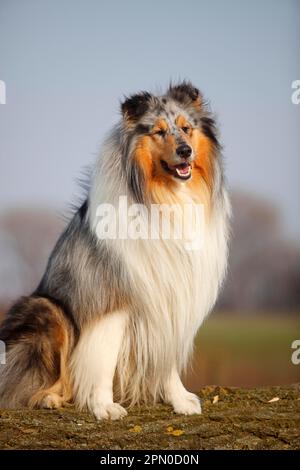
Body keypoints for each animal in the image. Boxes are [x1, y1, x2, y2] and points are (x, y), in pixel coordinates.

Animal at [0, 81, 230, 418]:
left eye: (187, 128)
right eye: (159, 131)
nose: (185, 150)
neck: (163, 199)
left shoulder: (171, 298)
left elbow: (167, 360)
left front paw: (179, 399)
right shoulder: (112, 298)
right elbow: (103, 359)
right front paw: (103, 405)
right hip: (48, 309)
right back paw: (49, 397)